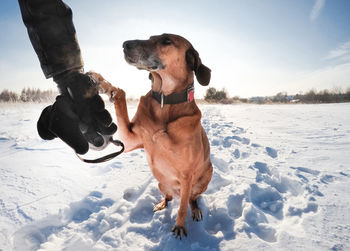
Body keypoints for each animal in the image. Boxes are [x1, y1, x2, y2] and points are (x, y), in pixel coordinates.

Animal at [90, 33, 212, 239]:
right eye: (150, 37)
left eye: (166, 40)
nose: (125, 44)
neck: (165, 102)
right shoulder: (129, 139)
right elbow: (120, 95)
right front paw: (102, 83)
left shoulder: (187, 174)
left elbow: (182, 209)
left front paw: (180, 226)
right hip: (162, 183)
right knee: (170, 197)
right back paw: (162, 203)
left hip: (204, 176)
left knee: (191, 199)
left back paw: (195, 209)